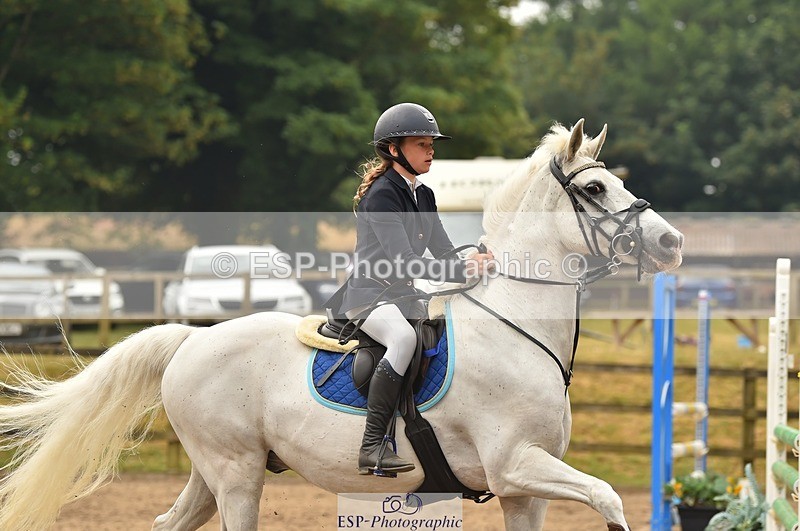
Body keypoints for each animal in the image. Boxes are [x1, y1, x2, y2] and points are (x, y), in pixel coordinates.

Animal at [0, 119, 682, 530]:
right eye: (594, 189)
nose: (671, 243)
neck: (516, 330)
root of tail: (194, 338)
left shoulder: (524, 490)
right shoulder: (514, 463)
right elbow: (609, 496)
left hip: (214, 469)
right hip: (236, 473)